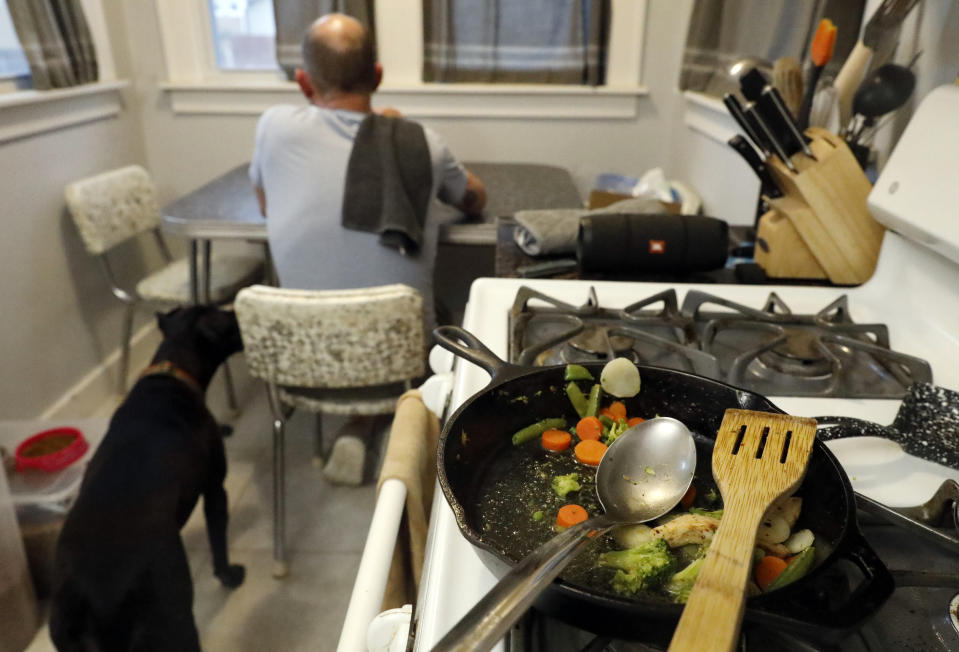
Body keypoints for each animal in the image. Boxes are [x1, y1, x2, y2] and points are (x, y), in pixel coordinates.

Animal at [50, 306, 246, 652]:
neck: (173, 370)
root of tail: (90, 600)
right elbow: (218, 542)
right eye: (227, 319)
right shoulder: (215, 488)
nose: (239, 310)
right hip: (174, 622)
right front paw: (229, 575)